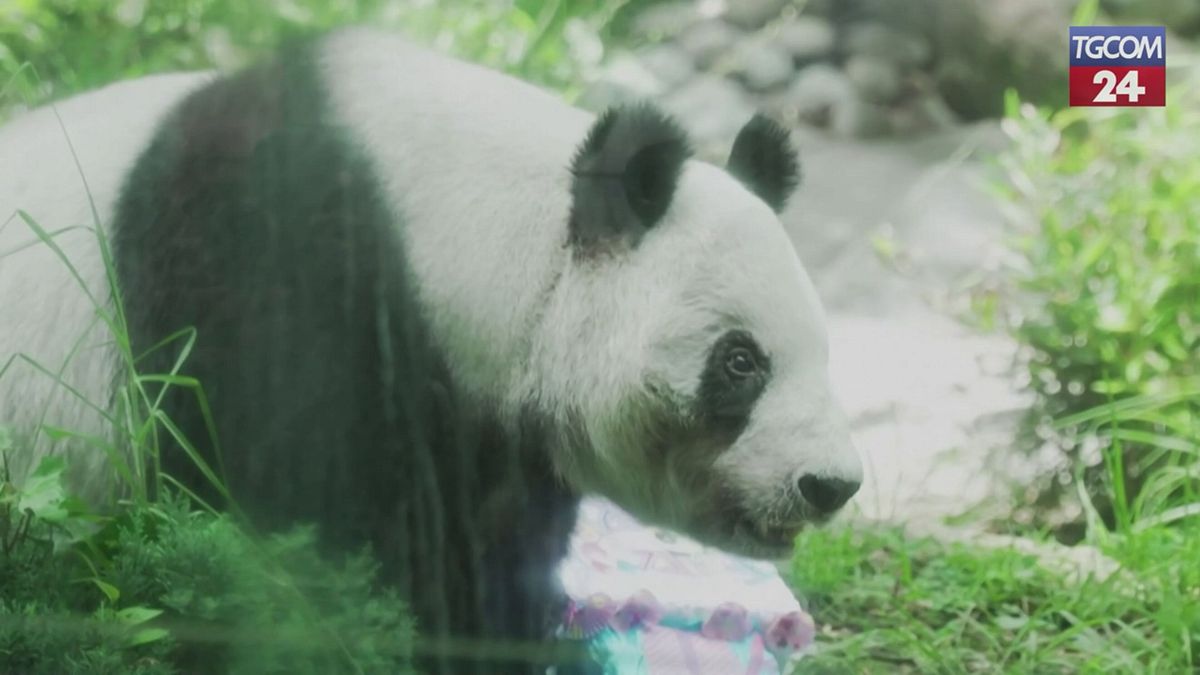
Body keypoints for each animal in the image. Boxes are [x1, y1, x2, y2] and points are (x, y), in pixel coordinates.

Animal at [0, 27, 862, 674]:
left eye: (824, 349)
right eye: (741, 362)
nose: (830, 484)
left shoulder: (492, 428)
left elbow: (488, 549)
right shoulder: (271, 284)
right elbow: (290, 526)